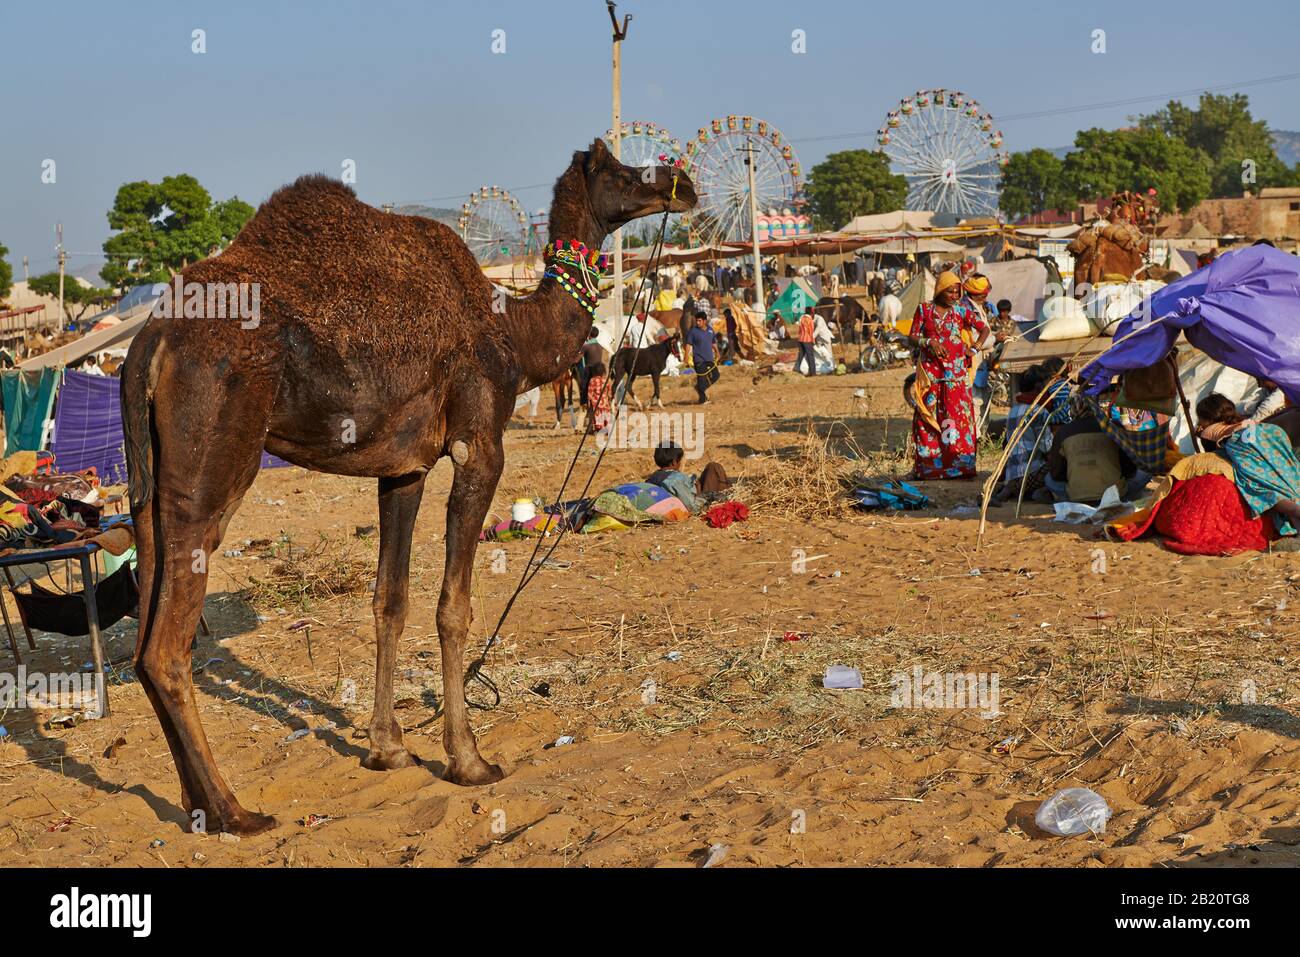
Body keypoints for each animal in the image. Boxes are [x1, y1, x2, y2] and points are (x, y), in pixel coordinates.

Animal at [122, 138, 696, 832]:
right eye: (622, 171)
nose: (683, 186)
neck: (513, 333)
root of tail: (150, 342)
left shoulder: (404, 468)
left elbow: (388, 603)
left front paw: (387, 749)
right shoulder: (479, 447)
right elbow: (453, 607)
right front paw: (468, 759)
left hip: (147, 484)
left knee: (145, 630)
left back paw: (197, 805)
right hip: (213, 463)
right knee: (167, 646)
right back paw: (235, 811)